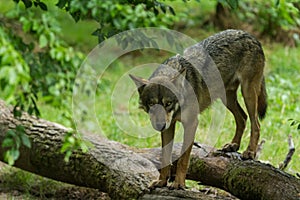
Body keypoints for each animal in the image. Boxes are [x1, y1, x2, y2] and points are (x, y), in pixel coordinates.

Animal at [129, 29, 268, 189]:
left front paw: (178, 184)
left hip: (248, 93)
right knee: (242, 117)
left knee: (256, 123)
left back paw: (250, 152)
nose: (160, 125)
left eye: (168, 103)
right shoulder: (169, 128)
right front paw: (161, 181)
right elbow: (165, 158)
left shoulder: (191, 124)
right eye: (152, 104)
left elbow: (183, 159)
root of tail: (248, 35)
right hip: (226, 97)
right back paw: (233, 145)